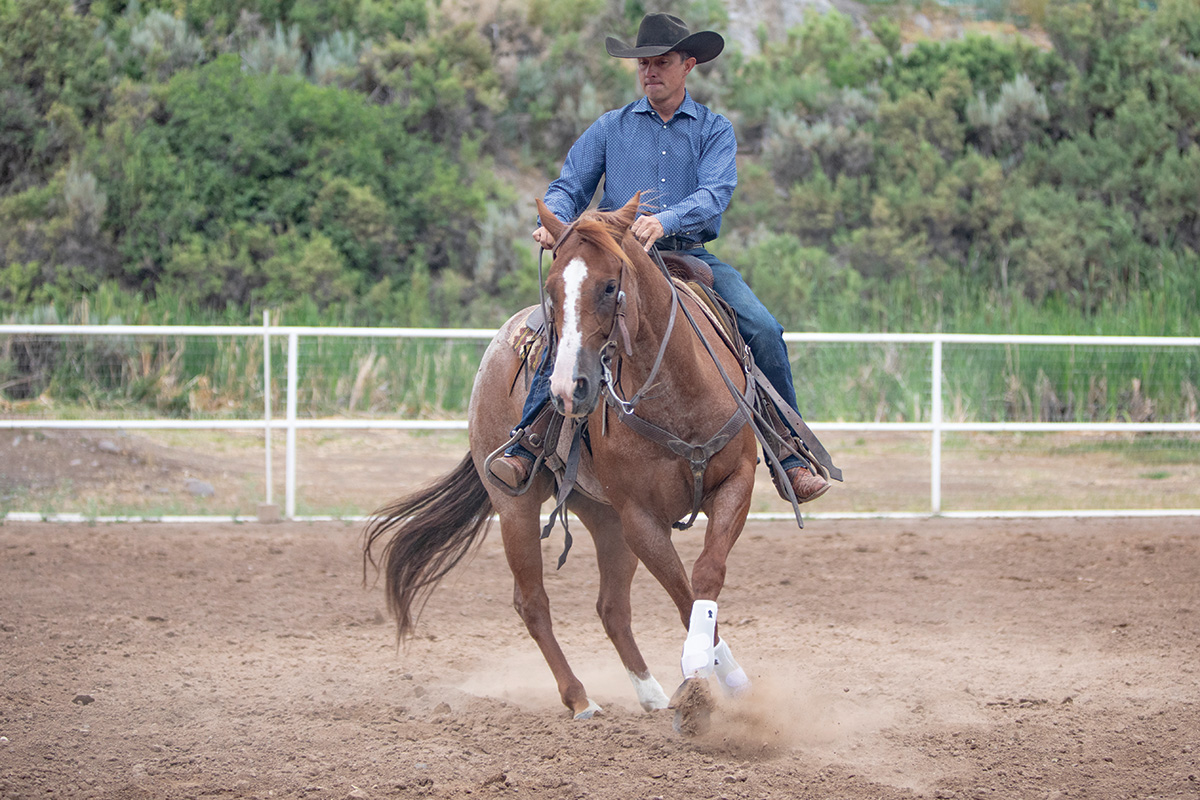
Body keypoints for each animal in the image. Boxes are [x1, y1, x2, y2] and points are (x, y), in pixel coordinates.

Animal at [360, 191, 763, 724]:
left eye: (610, 286)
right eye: (552, 287)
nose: (568, 389)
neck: (676, 394)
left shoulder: (735, 482)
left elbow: (704, 577)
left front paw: (727, 680)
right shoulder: (640, 517)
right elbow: (681, 590)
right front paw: (699, 680)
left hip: (604, 517)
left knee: (611, 607)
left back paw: (651, 694)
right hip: (518, 507)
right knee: (532, 602)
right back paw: (580, 699)